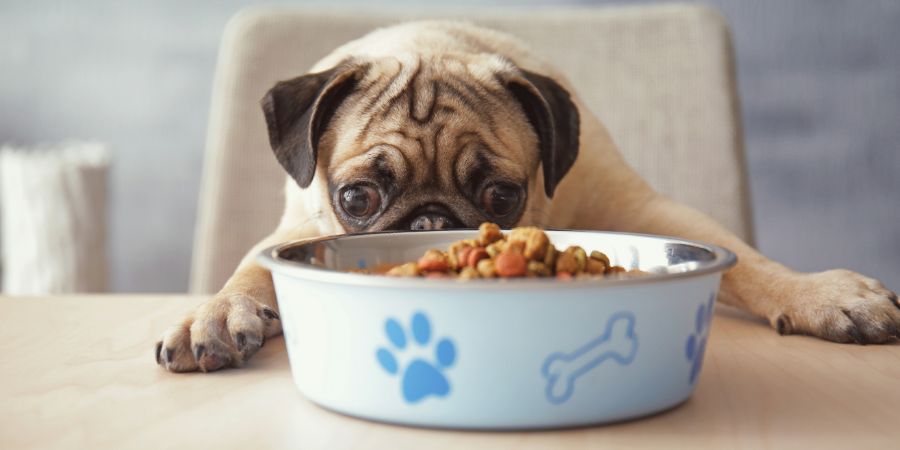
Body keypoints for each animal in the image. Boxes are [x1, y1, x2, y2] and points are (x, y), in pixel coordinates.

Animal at [156, 21, 900, 372]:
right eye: (358, 199)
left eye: (501, 195)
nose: (430, 222)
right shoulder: (298, 225)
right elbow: (248, 270)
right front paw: (212, 316)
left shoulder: (643, 208)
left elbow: (748, 260)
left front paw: (823, 294)